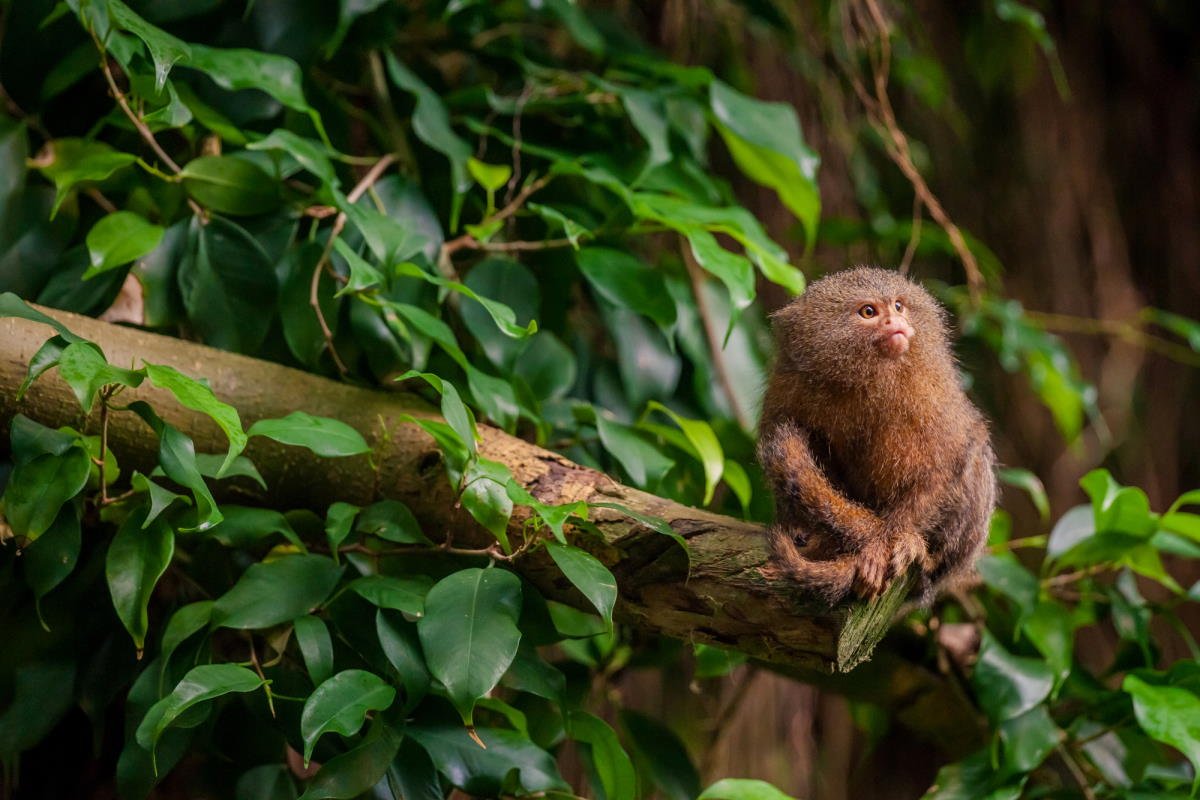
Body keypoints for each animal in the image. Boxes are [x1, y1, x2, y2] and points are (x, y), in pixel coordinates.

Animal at [758, 266, 993, 604]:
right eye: (869, 312)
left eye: (898, 306)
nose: (895, 322)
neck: (868, 379)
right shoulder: (788, 386)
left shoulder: (934, 396)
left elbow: (947, 464)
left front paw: (892, 541)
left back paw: (926, 558)